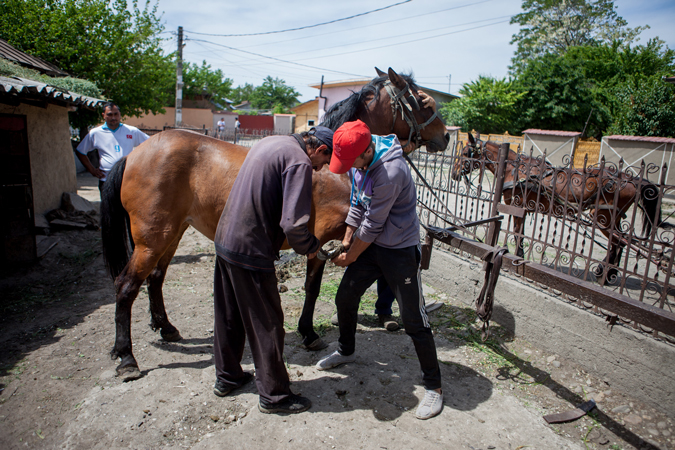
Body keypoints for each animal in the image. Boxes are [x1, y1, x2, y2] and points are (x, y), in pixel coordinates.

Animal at [100, 67, 450, 380]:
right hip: (152, 240)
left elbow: (319, 285)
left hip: (171, 234)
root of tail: (134, 154)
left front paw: (309, 332)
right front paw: (310, 332)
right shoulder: (317, 239)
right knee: (126, 286)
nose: (445, 137)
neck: (331, 168)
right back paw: (126, 357)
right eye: (422, 99)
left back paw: (166, 328)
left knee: (155, 279)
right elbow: (314, 286)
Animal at [451, 132, 660, 283]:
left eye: (465, 153)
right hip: (611, 218)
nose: (453, 173)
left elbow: (518, 234)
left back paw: (605, 273)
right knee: (622, 242)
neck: (515, 170)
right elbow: (520, 233)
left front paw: (518, 258)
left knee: (618, 243)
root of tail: (633, 179)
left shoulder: (517, 207)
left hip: (603, 218)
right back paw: (609, 274)